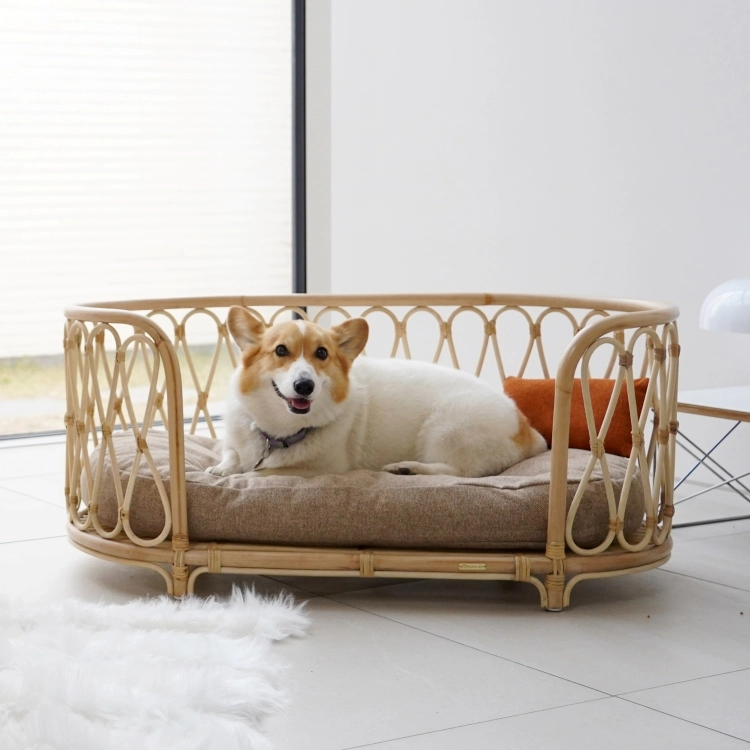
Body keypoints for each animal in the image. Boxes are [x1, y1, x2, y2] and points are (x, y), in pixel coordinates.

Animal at [207, 306, 547, 478]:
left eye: (321, 354)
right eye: (280, 350)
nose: (305, 386)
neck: (279, 431)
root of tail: (528, 430)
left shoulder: (313, 468)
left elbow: (265, 471)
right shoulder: (235, 442)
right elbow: (230, 455)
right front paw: (221, 468)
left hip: (444, 430)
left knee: (459, 472)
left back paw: (407, 468)